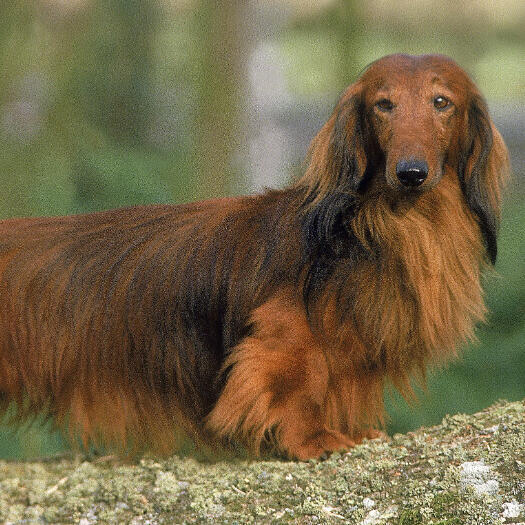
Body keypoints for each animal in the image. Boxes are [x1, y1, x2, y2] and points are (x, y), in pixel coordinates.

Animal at [0, 54, 508, 458]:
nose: (411, 173)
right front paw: (313, 439)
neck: (398, 223)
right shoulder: (285, 331)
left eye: (442, 102)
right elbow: (296, 380)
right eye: (384, 104)